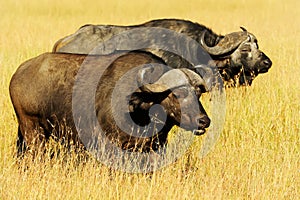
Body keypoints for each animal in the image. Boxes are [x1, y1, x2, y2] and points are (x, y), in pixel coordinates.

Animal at [9, 50, 211, 162]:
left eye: (198, 93)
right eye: (179, 93)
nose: (204, 121)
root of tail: (19, 72)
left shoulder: (154, 148)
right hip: (33, 132)